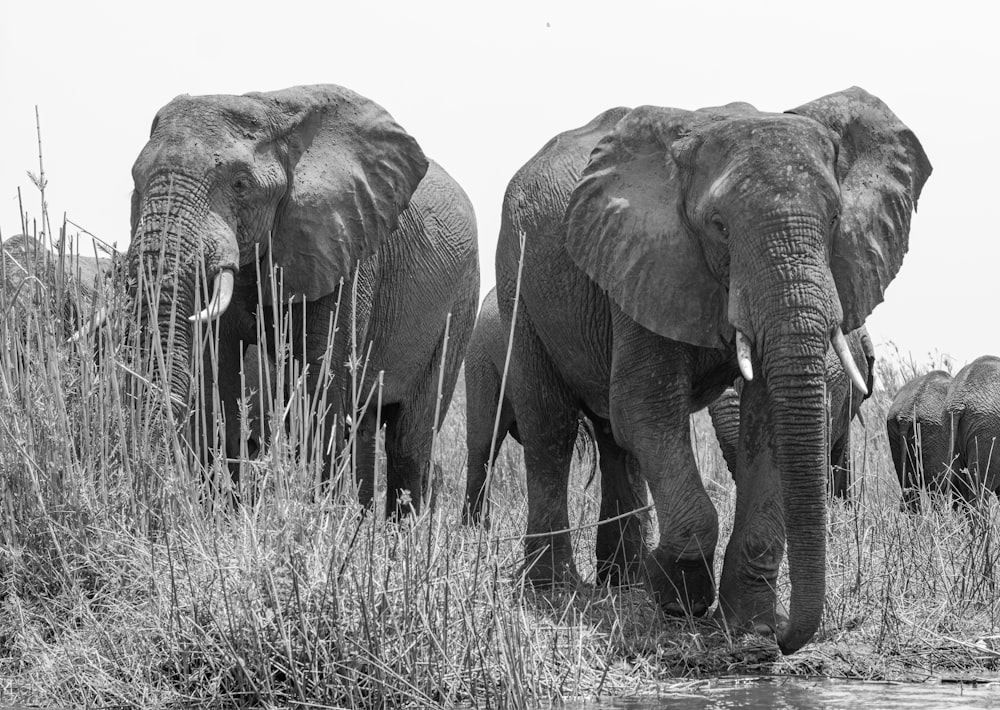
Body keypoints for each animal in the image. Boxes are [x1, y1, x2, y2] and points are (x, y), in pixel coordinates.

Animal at [123, 85, 482, 516]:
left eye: (240, 184)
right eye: (135, 181)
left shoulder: (348, 250)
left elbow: (320, 382)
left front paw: (313, 519)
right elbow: (218, 377)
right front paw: (221, 516)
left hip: (461, 302)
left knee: (408, 440)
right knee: (364, 424)